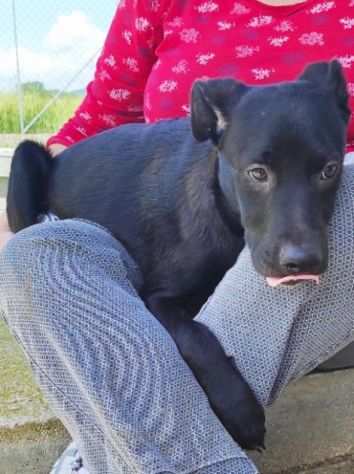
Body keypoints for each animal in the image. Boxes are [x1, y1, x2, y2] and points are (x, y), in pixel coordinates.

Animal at [6, 61, 350, 450]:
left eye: (330, 169)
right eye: (257, 173)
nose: (302, 262)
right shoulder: (157, 297)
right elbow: (195, 335)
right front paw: (240, 410)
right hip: (24, 158)